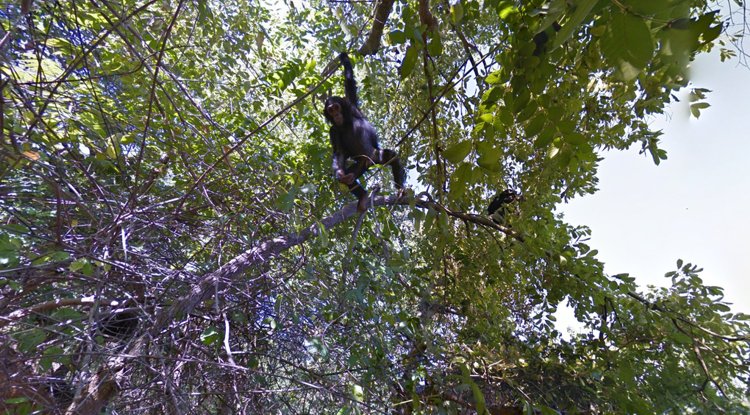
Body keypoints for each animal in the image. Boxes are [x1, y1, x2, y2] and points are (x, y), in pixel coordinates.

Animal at [324, 52, 406, 211]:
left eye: (336, 107)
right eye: (330, 110)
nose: (335, 114)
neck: (345, 123)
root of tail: (371, 163)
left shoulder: (352, 107)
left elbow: (349, 83)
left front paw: (344, 59)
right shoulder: (333, 131)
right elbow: (340, 152)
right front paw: (340, 174)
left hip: (376, 155)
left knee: (392, 157)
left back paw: (400, 189)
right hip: (362, 163)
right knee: (350, 178)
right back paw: (362, 196)